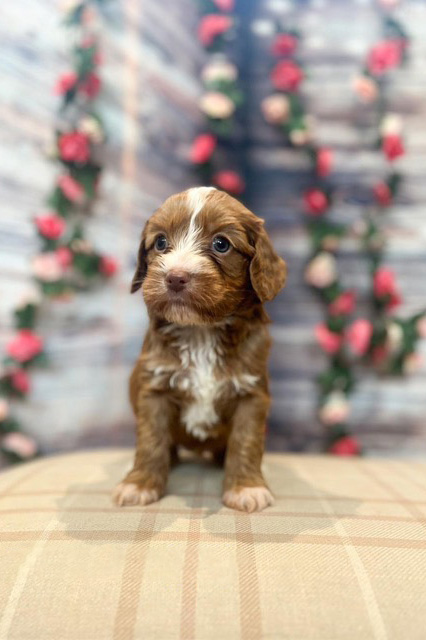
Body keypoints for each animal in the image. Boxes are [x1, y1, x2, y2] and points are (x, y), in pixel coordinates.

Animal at [113, 188, 286, 512]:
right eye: (160, 242)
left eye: (221, 244)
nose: (175, 277)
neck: (201, 331)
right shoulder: (154, 387)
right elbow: (151, 440)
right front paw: (139, 484)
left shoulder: (251, 393)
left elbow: (246, 441)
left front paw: (247, 487)